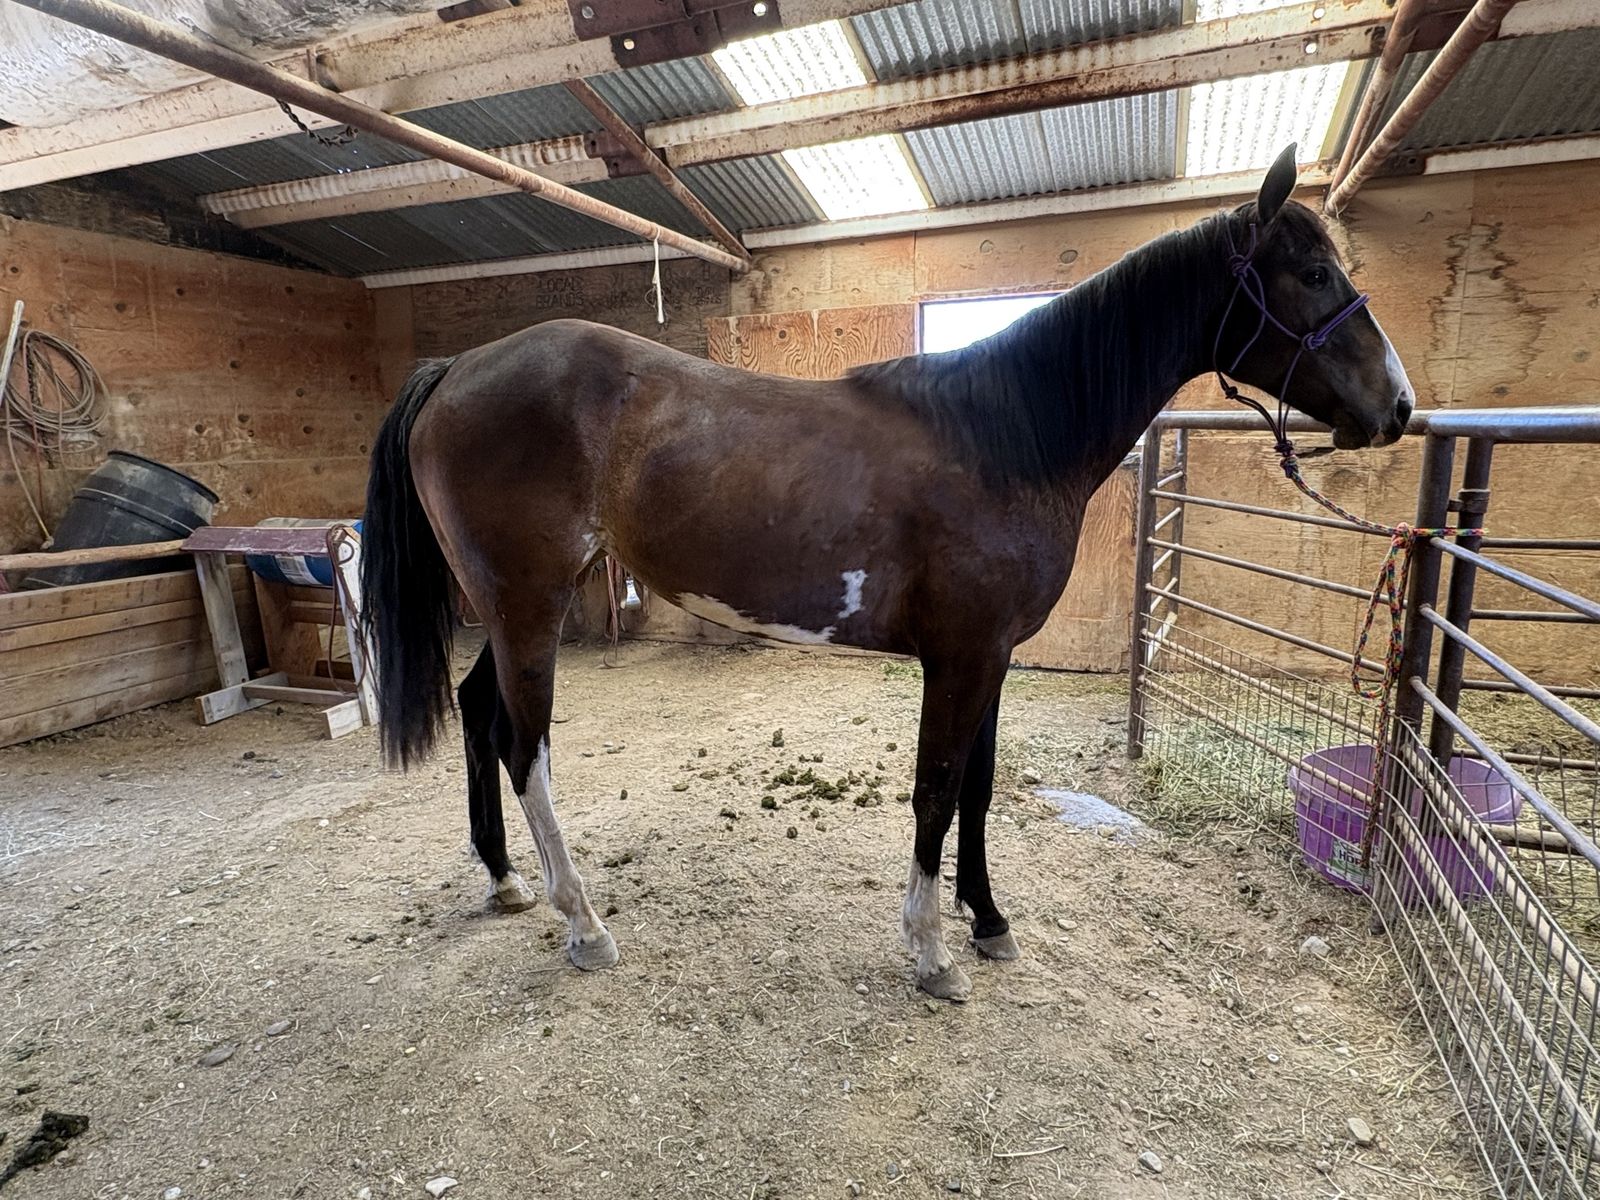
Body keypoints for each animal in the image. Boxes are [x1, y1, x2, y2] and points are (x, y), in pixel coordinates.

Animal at [359, 146, 1413, 1002]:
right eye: (1312, 273)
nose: (1398, 407)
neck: (1004, 437)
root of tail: (457, 367)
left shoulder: (990, 657)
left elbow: (977, 789)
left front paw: (988, 922)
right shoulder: (960, 658)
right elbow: (936, 791)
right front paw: (932, 952)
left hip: (509, 609)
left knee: (480, 714)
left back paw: (505, 880)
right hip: (528, 606)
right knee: (524, 746)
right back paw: (583, 924)